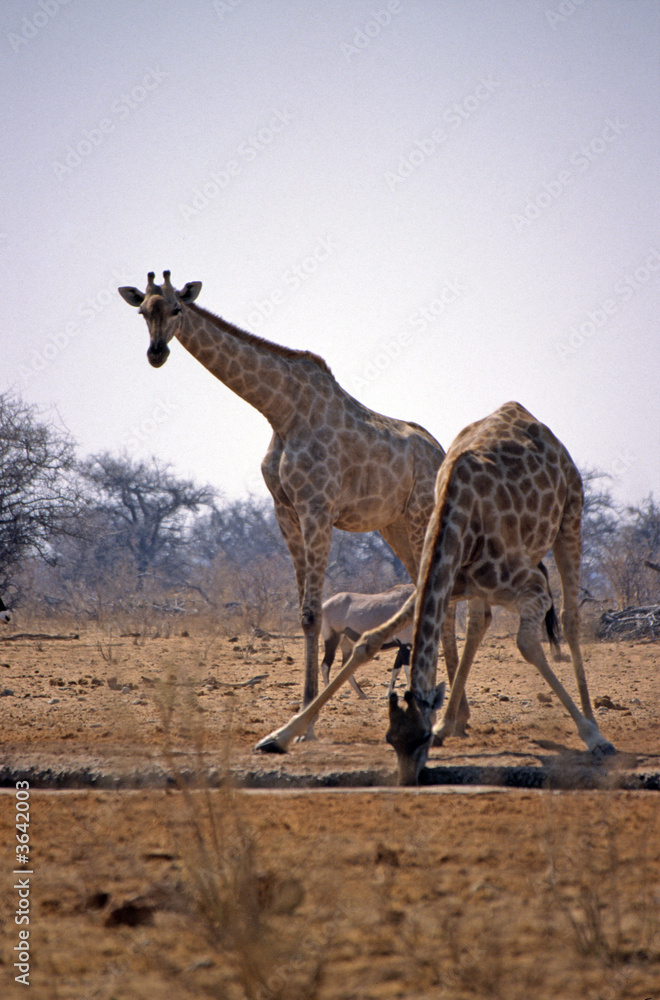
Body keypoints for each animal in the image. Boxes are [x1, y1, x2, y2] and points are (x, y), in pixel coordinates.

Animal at [118, 271, 475, 734]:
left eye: (177, 308)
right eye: (144, 311)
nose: (156, 353)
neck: (281, 412)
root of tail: (441, 453)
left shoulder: (317, 507)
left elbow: (312, 612)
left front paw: (304, 722)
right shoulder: (284, 510)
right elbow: (303, 613)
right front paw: (304, 711)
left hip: (420, 516)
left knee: (441, 598)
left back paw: (450, 715)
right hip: (393, 525)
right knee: (430, 595)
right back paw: (450, 712)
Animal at [256, 401, 615, 784]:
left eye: (421, 738)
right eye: (390, 738)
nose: (409, 781)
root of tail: (524, 413)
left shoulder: (531, 587)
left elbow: (527, 644)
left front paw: (592, 735)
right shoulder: (440, 579)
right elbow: (368, 642)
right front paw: (278, 737)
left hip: (571, 516)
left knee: (570, 617)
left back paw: (593, 724)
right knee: (478, 623)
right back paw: (449, 722)